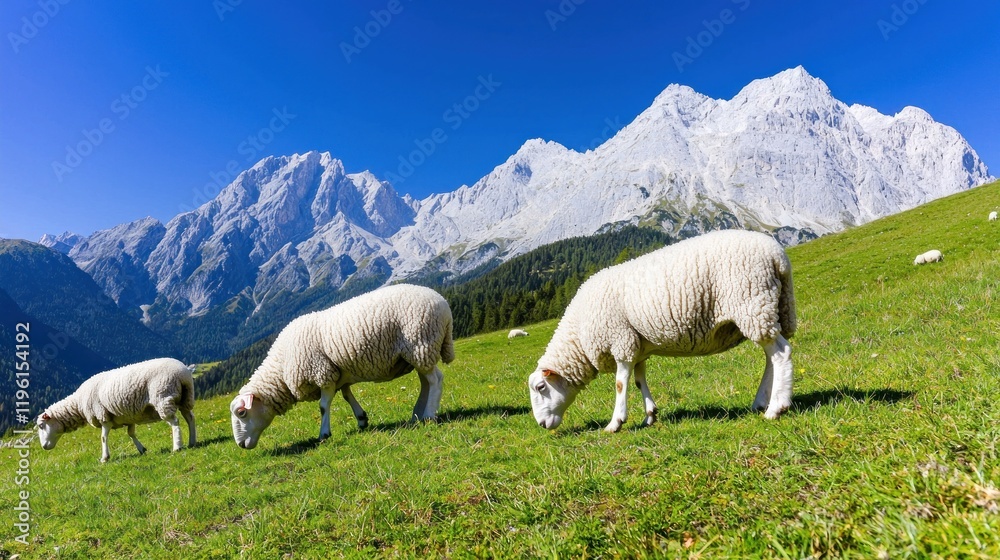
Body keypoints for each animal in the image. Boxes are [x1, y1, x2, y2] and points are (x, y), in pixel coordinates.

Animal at [36, 358, 196, 462]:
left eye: (41, 425)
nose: (43, 447)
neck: (78, 404)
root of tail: (184, 372)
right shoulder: (129, 415)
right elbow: (131, 433)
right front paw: (142, 450)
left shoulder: (103, 415)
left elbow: (103, 437)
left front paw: (105, 458)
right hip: (186, 397)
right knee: (190, 418)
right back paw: (192, 442)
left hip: (162, 396)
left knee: (175, 422)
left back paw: (177, 446)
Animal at [230, 284, 454, 449]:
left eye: (242, 413)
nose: (240, 445)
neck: (282, 368)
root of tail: (444, 305)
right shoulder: (338, 373)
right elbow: (347, 395)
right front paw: (362, 419)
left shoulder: (322, 373)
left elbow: (323, 406)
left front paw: (324, 434)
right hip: (416, 352)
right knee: (426, 382)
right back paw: (417, 414)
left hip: (420, 342)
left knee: (435, 380)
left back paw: (429, 415)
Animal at [527, 230, 796, 432]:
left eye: (541, 387)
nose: (541, 424)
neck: (579, 337)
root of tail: (778, 256)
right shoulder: (638, 346)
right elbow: (638, 380)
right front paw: (650, 415)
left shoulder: (621, 340)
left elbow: (620, 384)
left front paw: (615, 423)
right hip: (773, 308)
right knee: (771, 357)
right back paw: (761, 402)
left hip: (752, 304)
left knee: (781, 353)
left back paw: (776, 408)